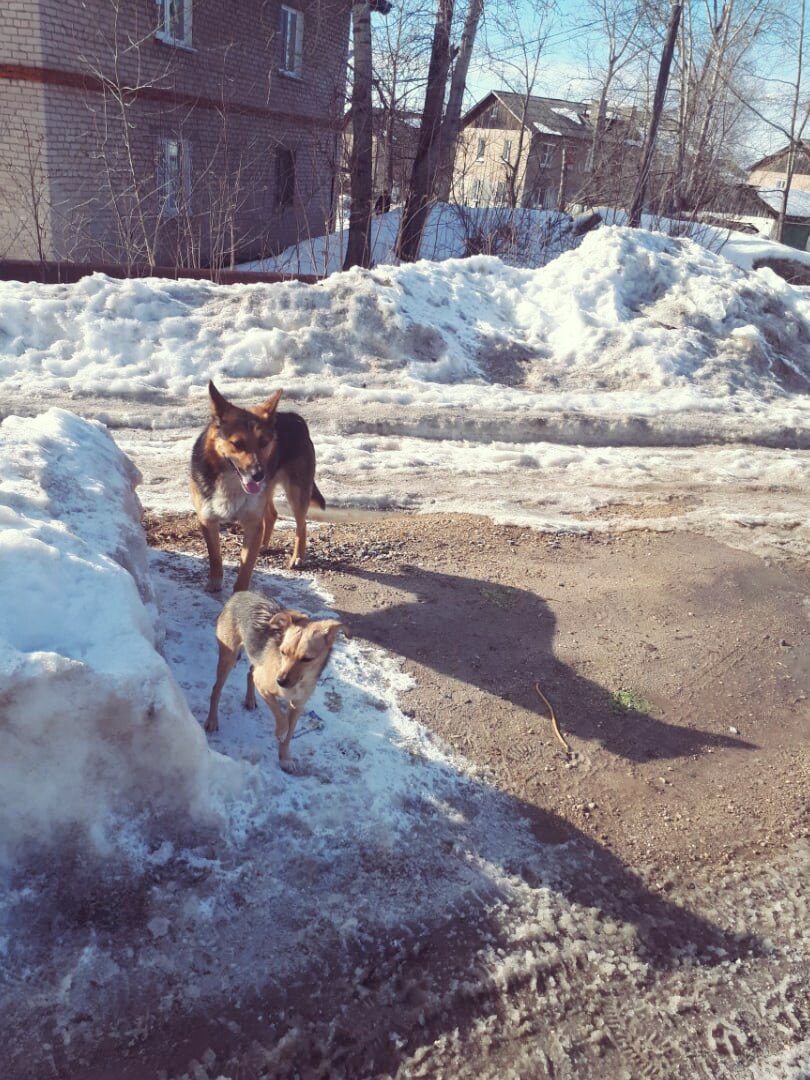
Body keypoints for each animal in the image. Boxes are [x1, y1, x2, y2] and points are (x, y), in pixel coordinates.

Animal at [206, 591, 345, 768]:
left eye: (307, 659)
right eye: (283, 652)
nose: (280, 681)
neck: (299, 682)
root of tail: (241, 593)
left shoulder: (298, 706)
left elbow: (289, 734)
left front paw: (284, 758)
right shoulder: (264, 687)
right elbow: (282, 719)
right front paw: (280, 732)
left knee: (250, 673)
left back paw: (250, 699)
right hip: (228, 657)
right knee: (217, 689)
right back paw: (212, 720)